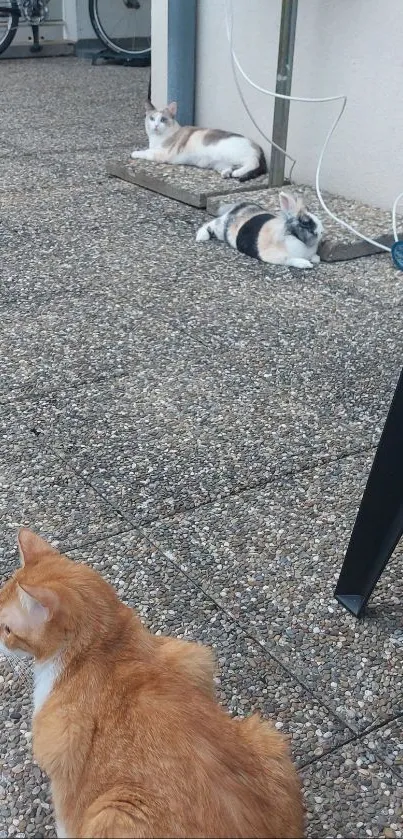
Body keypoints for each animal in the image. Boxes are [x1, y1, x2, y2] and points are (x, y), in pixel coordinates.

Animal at [0, 532, 304, 839]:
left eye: (7, 629)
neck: (102, 649)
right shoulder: (192, 658)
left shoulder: (61, 750)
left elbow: (66, 816)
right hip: (266, 735)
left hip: (114, 813)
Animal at [130, 100, 268, 182]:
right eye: (152, 118)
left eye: (163, 119)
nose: (156, 125)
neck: (156, 138)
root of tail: (257, 146)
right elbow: (148, 150)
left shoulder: (162, 154)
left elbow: (147, 152)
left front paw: (135, 153)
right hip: (220, 163)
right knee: (230, 167)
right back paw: (227, 173)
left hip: (234, 154)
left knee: (253, 163)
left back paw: (238, 173)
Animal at [196, 191, 326, 268]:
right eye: (305, 223)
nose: (322, 232)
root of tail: (238, 207)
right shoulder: (280, 257)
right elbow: (291, 260)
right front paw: (306, 264)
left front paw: (316, 259)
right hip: (221, 228)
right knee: (210, 224)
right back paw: (201, 237)